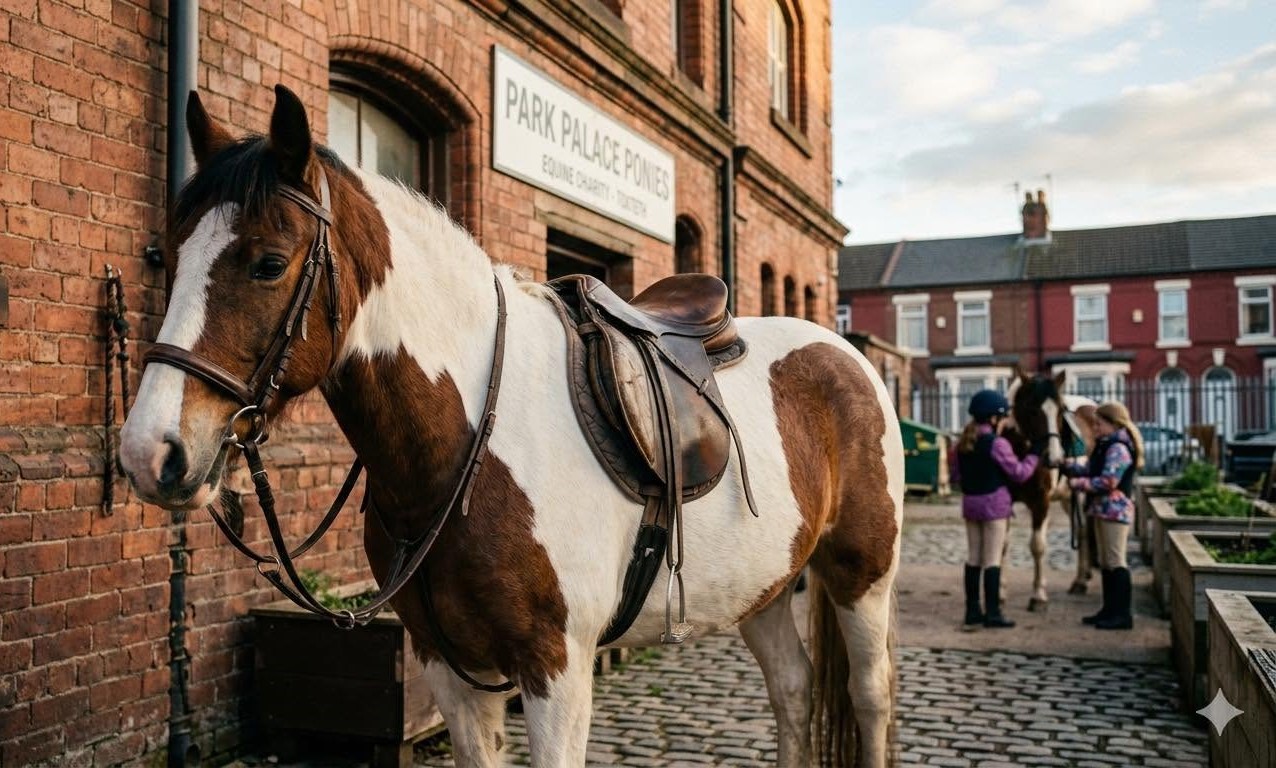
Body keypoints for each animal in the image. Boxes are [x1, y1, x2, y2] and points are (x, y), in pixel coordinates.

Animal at [118, 85, 904, 768]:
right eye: (169, 253)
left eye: (269, 263)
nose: (150, 452)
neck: (470, 446)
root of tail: (846, 356)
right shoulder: (447, 664)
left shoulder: (556, 668)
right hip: (764, 584)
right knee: (793, 689)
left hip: (861, 571)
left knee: (869, 696)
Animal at [1004, 370, 1097, 611]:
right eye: (1032, 408)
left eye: (1060, 410)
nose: (1055, 458)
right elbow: (1003, 544)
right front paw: (999, 593)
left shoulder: (1041, 502)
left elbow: (1037, 546)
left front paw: (1038, 596)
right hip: (1067, 498)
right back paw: (1081, 579)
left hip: (1081, 494)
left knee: (1083, 531)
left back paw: (1080, 582)